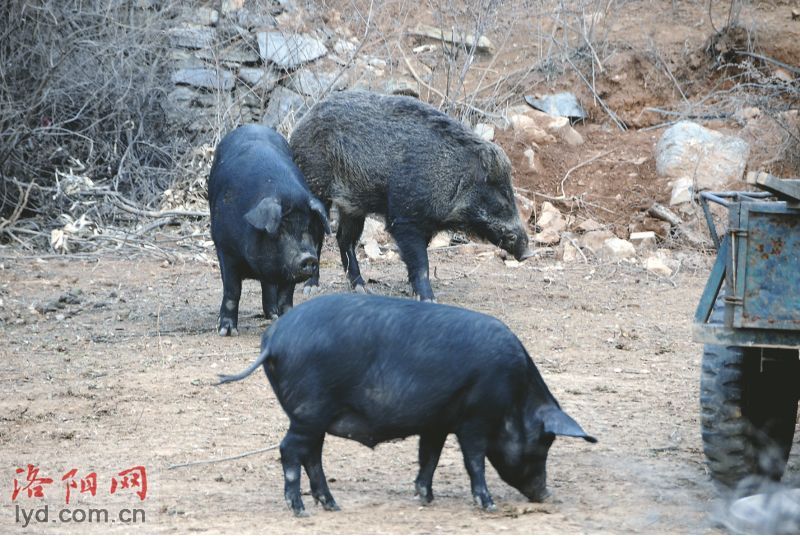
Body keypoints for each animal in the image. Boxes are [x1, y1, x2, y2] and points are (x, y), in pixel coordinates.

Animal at [209, 124, 332, 336]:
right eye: (280, 230)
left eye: (309, 227)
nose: (308, 257)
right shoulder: (226, 249)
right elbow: (232, 290)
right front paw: (227, 331)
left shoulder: (289, 269)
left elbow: (286, 295)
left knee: (268, 284)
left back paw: (272, 314)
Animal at [219, 294, 592, 516]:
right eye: (544, 441)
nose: (546, 495)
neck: (514, 394)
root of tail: (274, 340)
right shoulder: (475, 418)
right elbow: (474, 460)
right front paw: (488, 505)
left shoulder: (438, 422)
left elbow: (429, 456)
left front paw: (424, 497)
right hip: (309, 411)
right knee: (289, 450)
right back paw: (299, 509)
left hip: (313, 417)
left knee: (312, 455)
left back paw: (332, 505)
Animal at [290, 90, 536, 304]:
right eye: (501, 199)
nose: (528, 253)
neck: (452, 177)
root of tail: (301, 123)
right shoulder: (404, 218)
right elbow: (421, 262)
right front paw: (429, 299)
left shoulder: (424, 224)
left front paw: (412, 291)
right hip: (316, 187)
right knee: (317, 237)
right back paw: (311, 288)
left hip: (353, 204)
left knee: (344, 239)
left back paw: (362, 288)